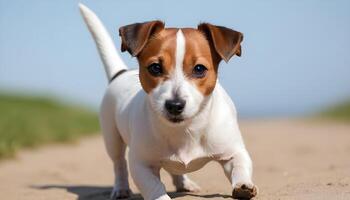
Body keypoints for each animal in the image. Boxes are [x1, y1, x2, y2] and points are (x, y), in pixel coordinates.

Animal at [80, 3, 258, 200]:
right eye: (155, 68)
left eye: (199, 69)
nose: (175, 105)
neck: (184, 131)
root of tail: (121, 73)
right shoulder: (141, 164)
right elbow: (154, 187)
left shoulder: (233, 152)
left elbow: (240, 166)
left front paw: (243, 186)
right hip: (112, 138)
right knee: (119, 164)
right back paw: (121, 188)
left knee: (176, 170)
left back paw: (185, 184)